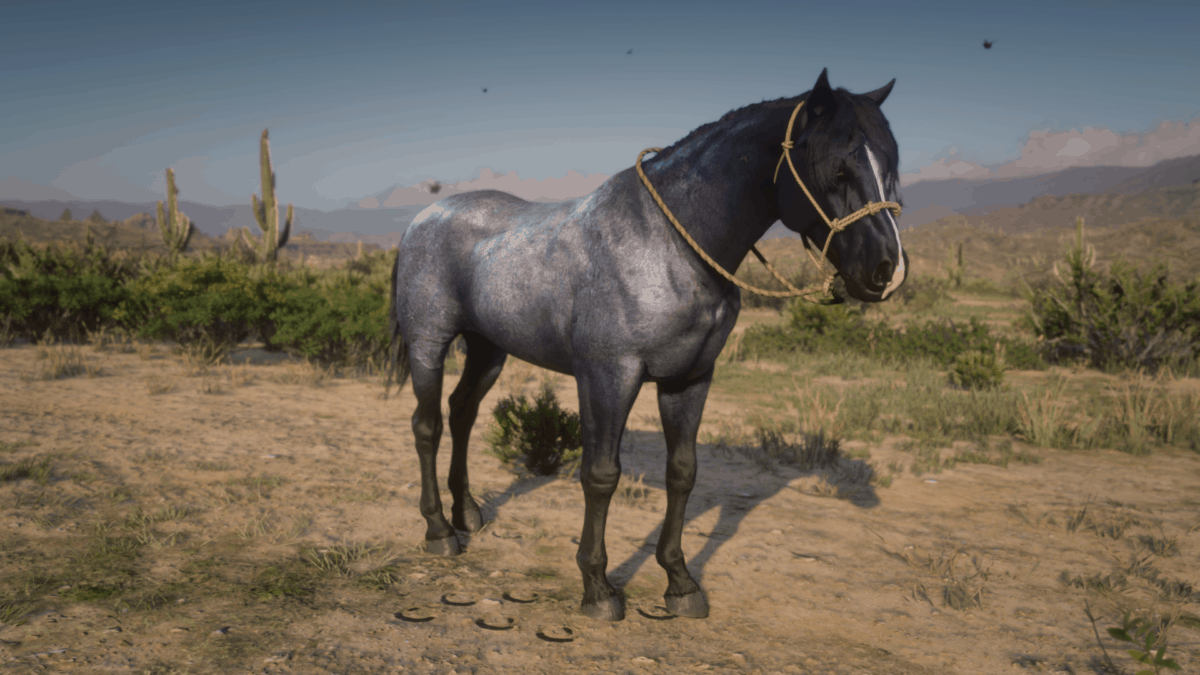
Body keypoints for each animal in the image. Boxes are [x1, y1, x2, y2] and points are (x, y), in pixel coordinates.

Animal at [387, 68, 907, 621]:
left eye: (890, 164)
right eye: (837, 168)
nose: (887, 270)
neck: (671, 247)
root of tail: (424, 217)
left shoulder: (690, 379)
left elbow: (683, 473)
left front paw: (680, 583)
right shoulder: (608, 376)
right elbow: (600, 475)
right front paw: (598, 588)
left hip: (488, 349)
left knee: (462, 413)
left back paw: (467, 515)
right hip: (429, 344)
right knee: (428, 426)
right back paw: (439, 531)